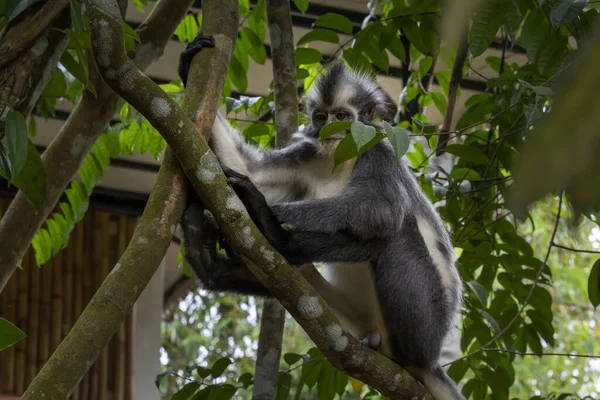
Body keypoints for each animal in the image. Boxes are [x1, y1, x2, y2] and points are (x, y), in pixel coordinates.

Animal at [178, 32, 464, 398]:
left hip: (421, 326)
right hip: (351, 319)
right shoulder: (307, 155)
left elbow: (381, 211)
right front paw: (188, 63)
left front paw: (260, 207)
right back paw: (208, 260)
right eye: (321, 118)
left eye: (342, 116)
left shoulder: (378, 150)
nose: (330, 131)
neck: (339, 159)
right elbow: (249, 170)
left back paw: (275, 235)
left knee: (391, 234)